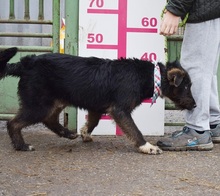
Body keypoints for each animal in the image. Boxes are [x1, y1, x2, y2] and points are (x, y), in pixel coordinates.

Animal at [0, 47, 196, 155]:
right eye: (186, 87)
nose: (195, 105)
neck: (148, 75)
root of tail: (26, 63)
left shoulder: (96, 107)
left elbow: (93, 123)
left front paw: (85, 133)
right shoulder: (119, 110)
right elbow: (135, 130)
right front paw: (147, 146)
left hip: (55, 101)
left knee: (49, 119)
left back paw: (67, 133)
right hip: (38, 105)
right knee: (13, 123)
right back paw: (21, 146)